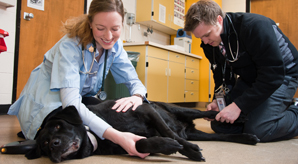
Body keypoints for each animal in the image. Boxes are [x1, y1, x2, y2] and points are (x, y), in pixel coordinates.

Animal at [25, 97, 258, 163]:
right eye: (45, 144)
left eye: (58, 126)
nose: (55, 144)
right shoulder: (126, 143)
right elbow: (141, 143)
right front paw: (165, 145)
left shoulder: (145, 109)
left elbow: (169, 133)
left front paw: (188, 150)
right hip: (196, 132)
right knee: (222, 135)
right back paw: (246, 136)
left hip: (180, 109)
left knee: (206, 114)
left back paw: (232, 114)